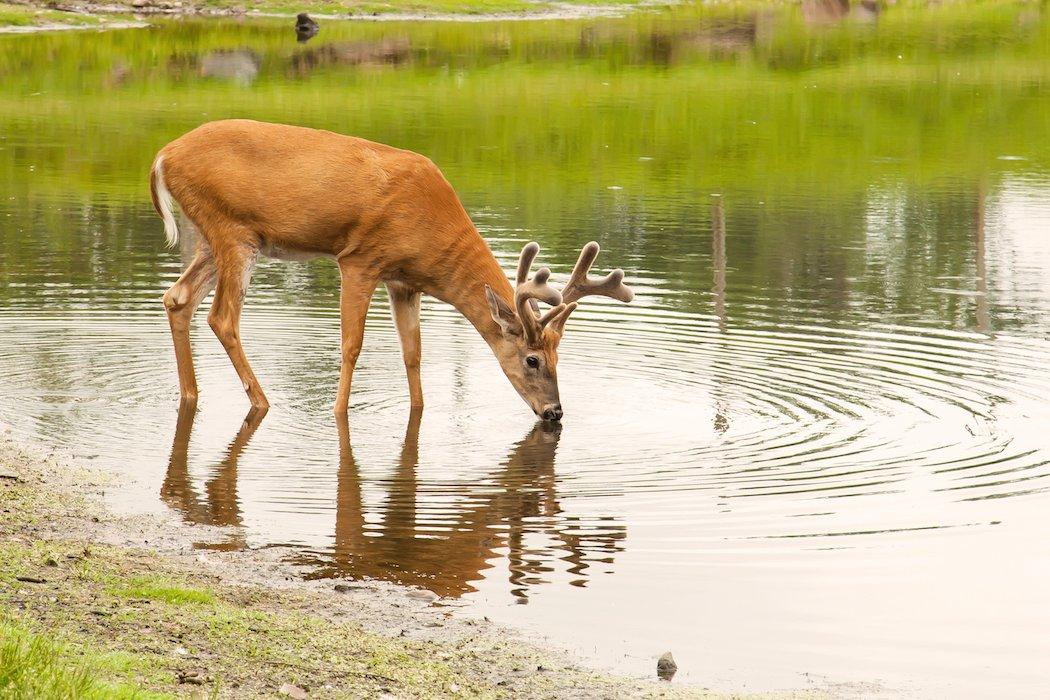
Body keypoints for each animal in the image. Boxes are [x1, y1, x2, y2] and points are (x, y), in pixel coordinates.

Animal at [149, 120, 634, 421]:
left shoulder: (404, 281)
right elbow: (351, 345)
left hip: (214, 237)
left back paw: (191, 394)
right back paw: (262, 402)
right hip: (233, 231)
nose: (555, 412)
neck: (431, 227)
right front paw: (338, 412)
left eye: (559, 358)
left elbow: (413, 353)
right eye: (532, 360)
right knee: (221, 317)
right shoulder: (360, 259)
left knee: (177, 297)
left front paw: (418, 409)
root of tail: (162, 156)